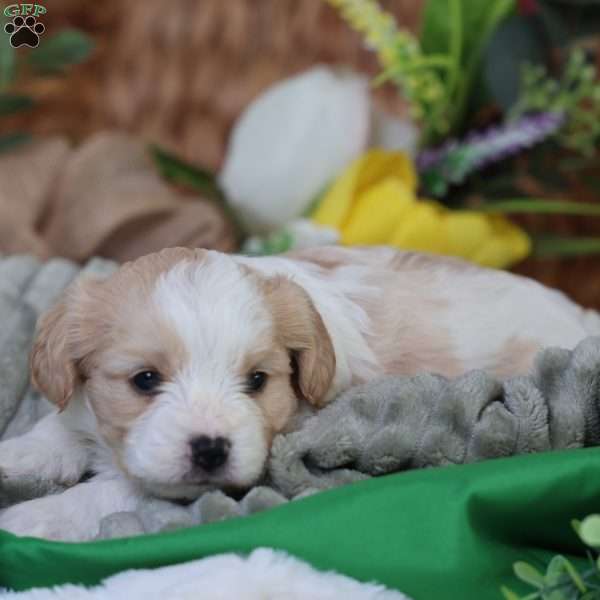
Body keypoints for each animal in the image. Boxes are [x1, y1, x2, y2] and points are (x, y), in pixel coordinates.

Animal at [1, 244, 600, 540]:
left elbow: (110, 491)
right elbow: (57, 429)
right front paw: (19, 454)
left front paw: (27, 520)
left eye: (257, 381)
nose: (211, 450)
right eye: (145, 380)